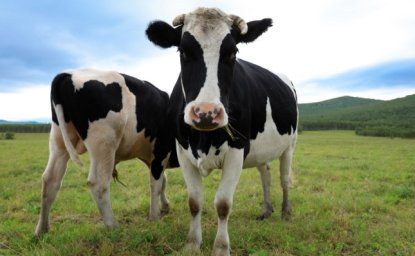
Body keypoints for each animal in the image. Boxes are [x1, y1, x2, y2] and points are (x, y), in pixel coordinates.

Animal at [33, 69, 176, 237]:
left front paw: (165, 207)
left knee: (50, 180)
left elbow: (163, 181)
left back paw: (41, 230)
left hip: (59, 141)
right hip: (104, 144)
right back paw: (113, 226)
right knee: (98, 184)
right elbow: (156, 184)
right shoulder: (161, 151)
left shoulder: (153, 158)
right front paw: (154, 217)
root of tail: (69, 74)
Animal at [147, 7, 300, 255]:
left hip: (290, 144)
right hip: (261, 149)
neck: (203, 138)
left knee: (284, 179)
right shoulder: (182, 151)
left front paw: (220, 247)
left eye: (233, 52)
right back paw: (266, 210)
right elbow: (194, 201)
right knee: (265, 175)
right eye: (183, 51)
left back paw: (285, 211)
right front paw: (192, 243)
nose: (206, 112)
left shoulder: (237, 149)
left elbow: (223, 204)